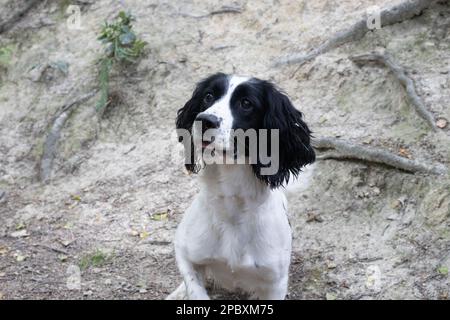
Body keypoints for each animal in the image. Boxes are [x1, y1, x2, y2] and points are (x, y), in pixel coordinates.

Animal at [167, 73, 314, 300]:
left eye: (246, 103)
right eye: (208, 96)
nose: (204, 120)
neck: (231, 208)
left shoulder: (276, 281)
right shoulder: (183, 249)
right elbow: (194, 287)